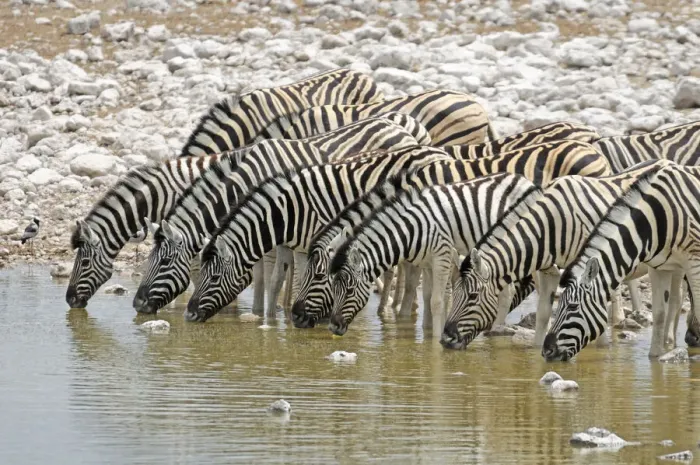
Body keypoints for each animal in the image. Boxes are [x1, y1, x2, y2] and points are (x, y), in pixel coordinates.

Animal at [184, 147, 455, 322]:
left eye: (214, 277)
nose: (188, 315)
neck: (286, 212)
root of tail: (440, 152)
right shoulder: (289, 245)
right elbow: (276, 281)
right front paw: (270, 319)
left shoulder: (309, 245)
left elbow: (300, 280)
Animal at [440, 159, 670, 351]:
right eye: (456, 293)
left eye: (472, 296)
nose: (445, 340)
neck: (551, 224)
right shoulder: (548, 272)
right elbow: (543, 315)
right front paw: (536, 351)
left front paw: (601, 350)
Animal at [542, 161, 700, 361]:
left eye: (572, 306)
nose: (546, 351)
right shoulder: (660, 267)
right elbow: (659, 314)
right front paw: (655, 359)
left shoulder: (694, 259)